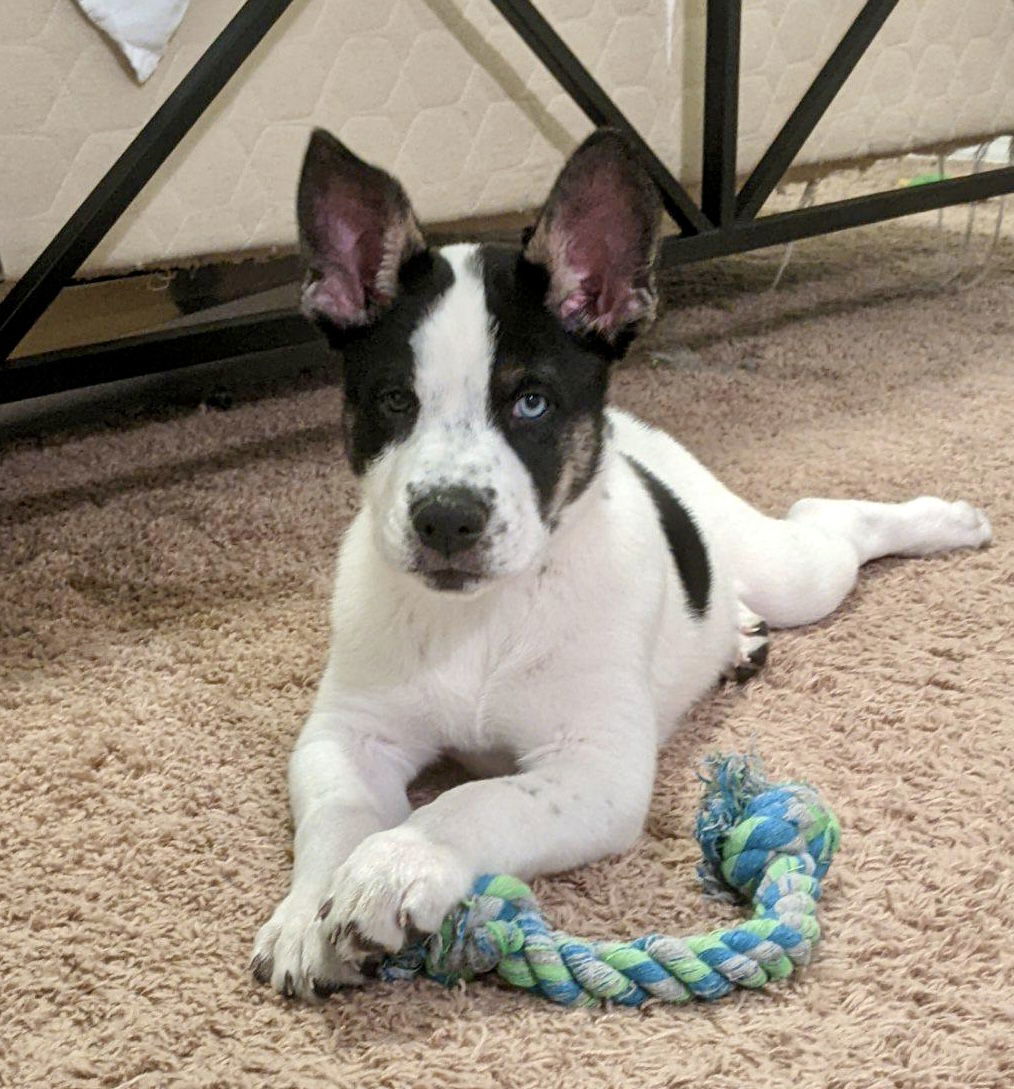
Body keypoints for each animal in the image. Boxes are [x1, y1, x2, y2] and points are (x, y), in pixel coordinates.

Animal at [251, 123, 993, 997]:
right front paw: (309, 911)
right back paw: (738, 634)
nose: (447, 520)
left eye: (532, 402)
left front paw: (397, 863)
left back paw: (944, 520)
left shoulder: (595, 769)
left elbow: (476, 803)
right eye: (395, 401)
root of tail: (643, 436)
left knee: (827, 522)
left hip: (795, 569)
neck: (483, 616)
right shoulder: (348, 732)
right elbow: (338, 813)